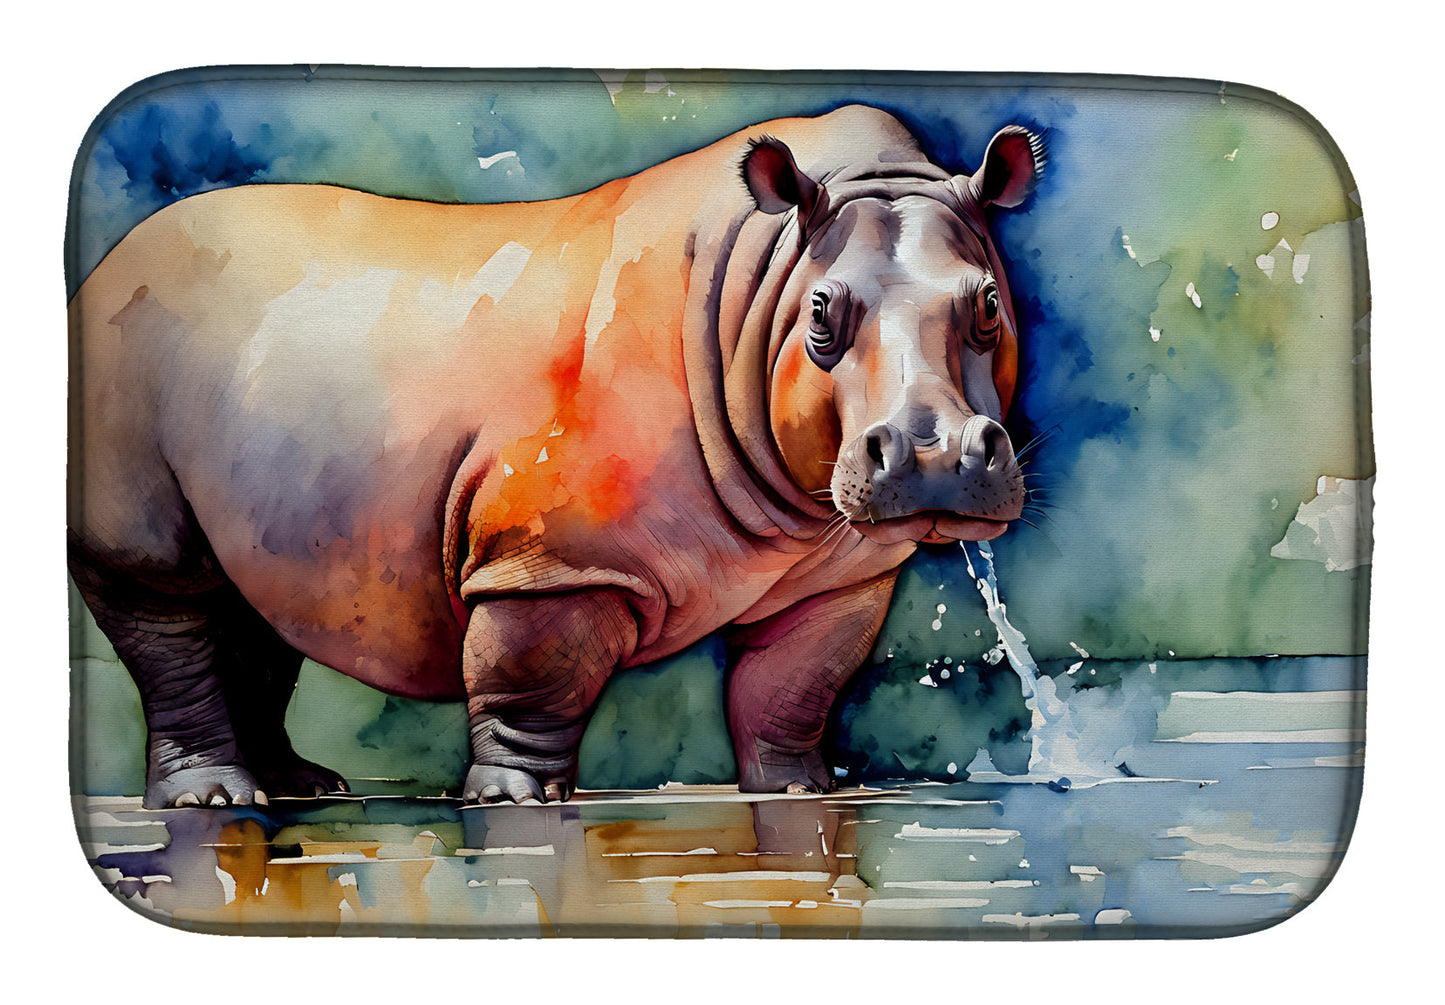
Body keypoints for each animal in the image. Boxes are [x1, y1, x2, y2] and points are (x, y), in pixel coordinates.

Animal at [67, 104, 1039, 808]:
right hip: (119, 357)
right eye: (823, 316)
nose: (935, 456)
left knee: (256, 595)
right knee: (161, 589)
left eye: (990, 306)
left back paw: (304, 789)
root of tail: (104, 263)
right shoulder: (550, 557)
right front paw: (515, 802)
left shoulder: (837, 570)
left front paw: (798, 791)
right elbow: (533, 680)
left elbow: (793, 685)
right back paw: (212, 803)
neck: (763, 280)